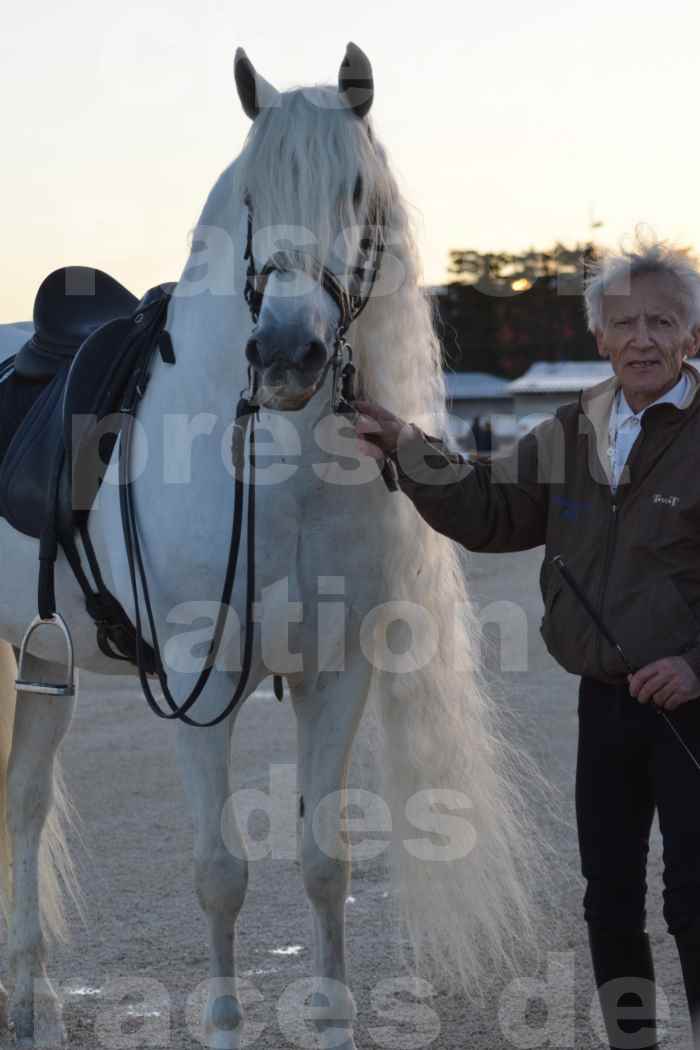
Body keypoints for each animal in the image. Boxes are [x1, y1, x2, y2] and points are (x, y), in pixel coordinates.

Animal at [0, 40, 541, 1050]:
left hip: (40, 658)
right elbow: (220, 873)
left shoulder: (339, 669)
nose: (288, 354)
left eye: (355, 190)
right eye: (252, 195)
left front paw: (331, 1023)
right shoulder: (194, 676)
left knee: (23, 803)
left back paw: (37, 1000)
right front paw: (221, 1025)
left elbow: (326, 861)